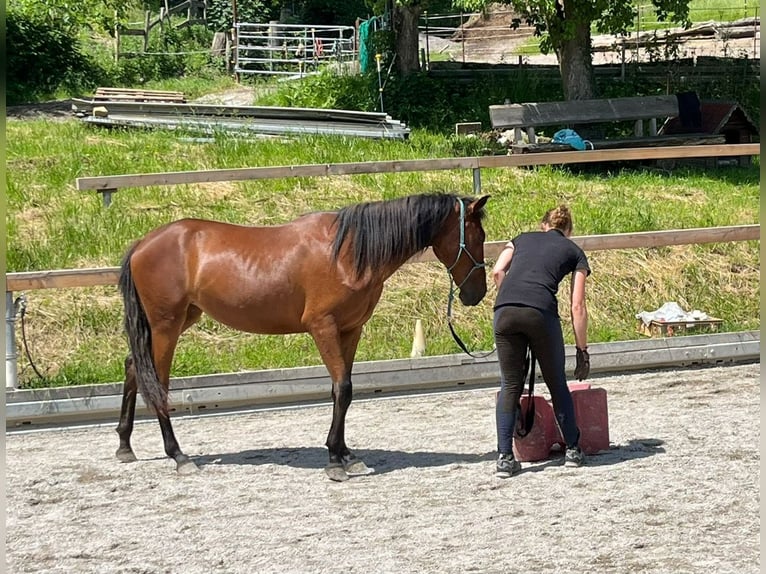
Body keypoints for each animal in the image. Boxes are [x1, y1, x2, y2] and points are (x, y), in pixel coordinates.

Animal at [118, 192, 492, 482]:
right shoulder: (322, 327)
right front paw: (335, 461)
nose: (476, 294)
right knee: (158, 383)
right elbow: (343, 388)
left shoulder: (350, 329)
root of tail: (142, 244)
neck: (349, 252)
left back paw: (125, 446)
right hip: (166, 325)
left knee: (134, 367)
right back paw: (179, 457)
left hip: (180, 320)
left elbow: (342, 391)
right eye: (478, 237)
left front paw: (347, 455)